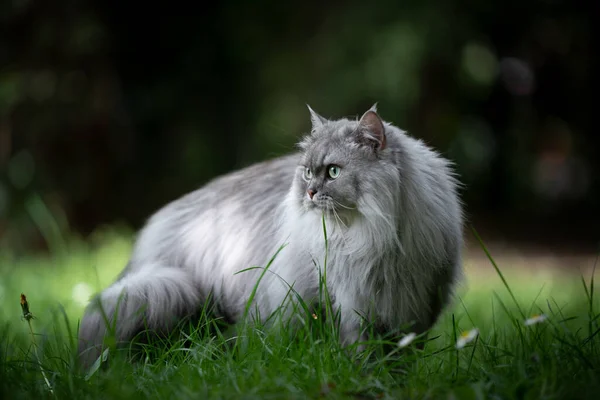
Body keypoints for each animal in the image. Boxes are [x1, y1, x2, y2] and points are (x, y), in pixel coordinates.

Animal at [77, 104, 464, 368]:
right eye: (307, 172)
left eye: (333, 172)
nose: (309, 192)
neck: (372, 243)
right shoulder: (348, 305)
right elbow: (359, 353)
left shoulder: (414, 304)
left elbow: (401, 360)